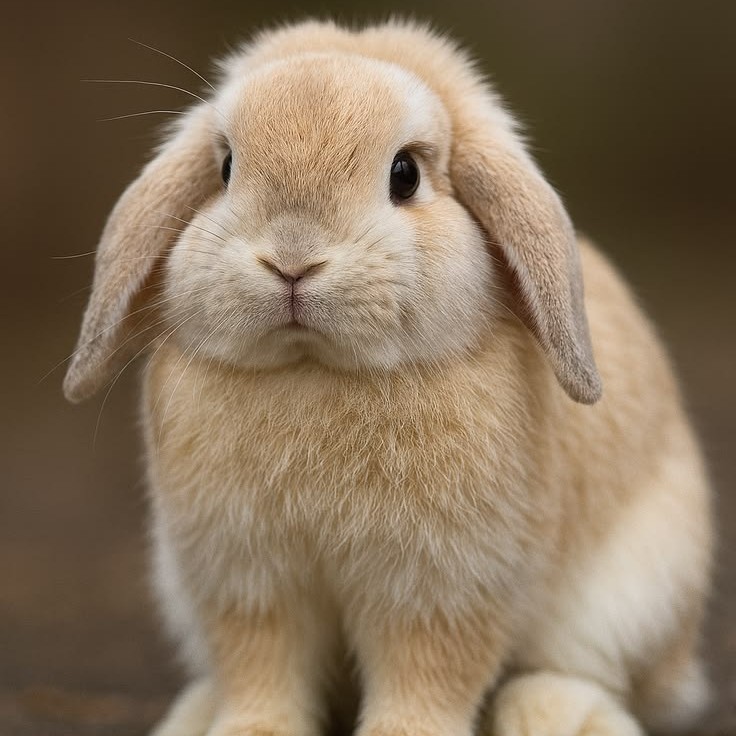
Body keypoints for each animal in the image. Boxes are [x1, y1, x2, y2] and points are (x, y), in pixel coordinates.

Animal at [64, 19, 714, 736]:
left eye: (405, 175)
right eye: (227, 168)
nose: (292, 260)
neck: (315, 370)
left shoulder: (442, 587)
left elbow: (426, 674)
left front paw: (402, 732)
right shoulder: (246, 580)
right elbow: (262, 670)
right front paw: (248, 729)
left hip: (630, 599)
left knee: (589, 675)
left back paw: (558, 715)